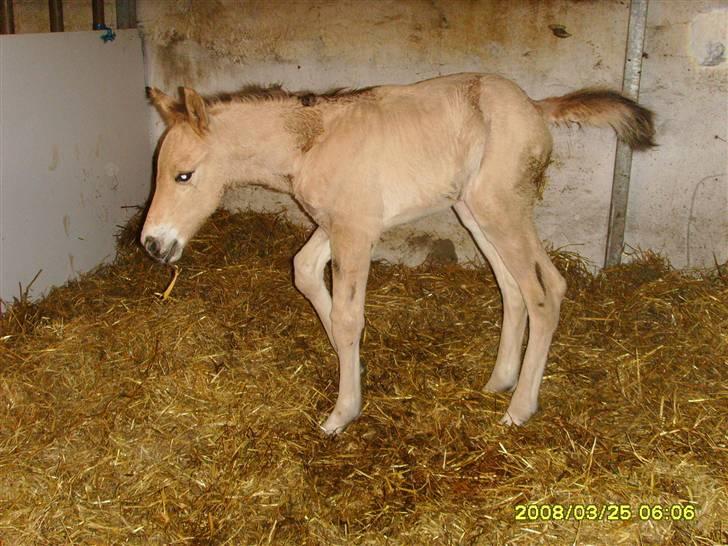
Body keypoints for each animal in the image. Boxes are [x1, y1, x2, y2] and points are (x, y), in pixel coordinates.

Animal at [142, 73, 656, 434]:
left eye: (184, 175)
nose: (152, 244)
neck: (311, 144)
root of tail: (534, 106)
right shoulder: (339, 224)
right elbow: (304, 272)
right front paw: (352, 364)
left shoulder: (355, 231)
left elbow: (348, 317)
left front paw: (343, 411)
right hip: (473, 211)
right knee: (511, 287)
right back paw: (500, 380)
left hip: (501, 208)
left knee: (544, 290)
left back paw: (519, 408)